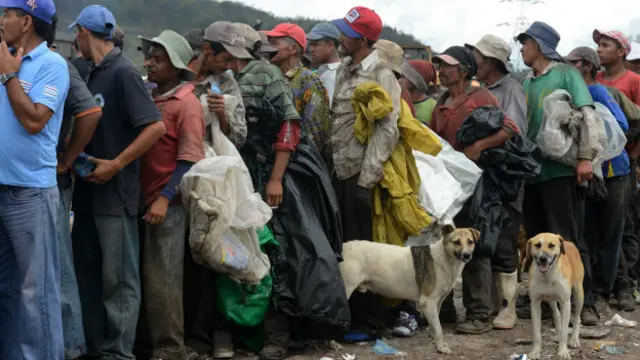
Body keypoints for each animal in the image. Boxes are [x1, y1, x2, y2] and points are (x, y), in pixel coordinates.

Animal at [342, 226, 478, 352]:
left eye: (470, 242)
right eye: (457, 242)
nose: (467, 255)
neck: (444, 257)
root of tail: (343, 247)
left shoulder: (436, 303)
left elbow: (434, 326)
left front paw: (436, 343)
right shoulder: (428, 302)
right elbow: (439, 328)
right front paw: (441, 348)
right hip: (346, 289)